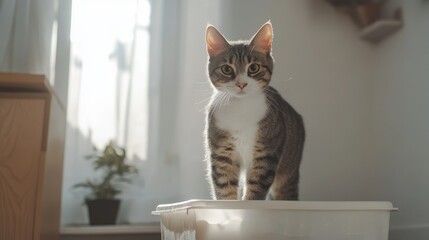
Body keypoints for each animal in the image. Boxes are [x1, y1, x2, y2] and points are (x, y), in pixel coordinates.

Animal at [204, 21, 304, 201]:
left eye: (254, 67)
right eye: (227, 69)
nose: (241, 84)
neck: (241, 108)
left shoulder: (266, 153)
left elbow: (257, 186)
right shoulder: (222, 154)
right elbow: (224, 187)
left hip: (289, 168)